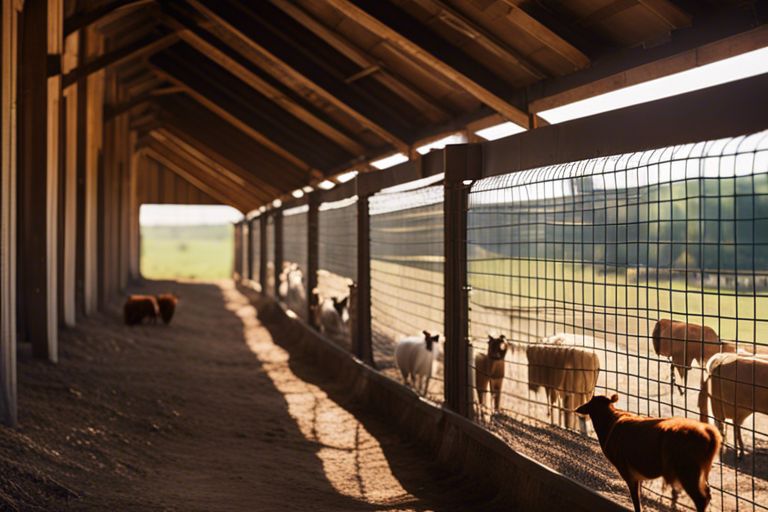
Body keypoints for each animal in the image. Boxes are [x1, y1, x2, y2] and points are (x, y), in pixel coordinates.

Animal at [580, 394, 724, 510]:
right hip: (700, 474)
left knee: (701, 499)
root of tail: (707, 431)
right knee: (708, 494)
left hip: (688, 473)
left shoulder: (627, 472)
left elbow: (636, 498)